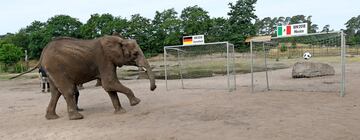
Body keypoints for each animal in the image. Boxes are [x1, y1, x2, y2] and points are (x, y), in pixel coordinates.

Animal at [11, 34, 156, 120]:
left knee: (56, 93)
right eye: (135, 53)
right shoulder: (104, 59)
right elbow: (109, 83)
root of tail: (42, 53)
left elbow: (109, 87)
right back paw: (77, 117)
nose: (152, 89)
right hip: (56, 69)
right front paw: (136, 102)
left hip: (51, 71)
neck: (118, 40)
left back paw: (52, 117)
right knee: (68, 90)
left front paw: (120, 112)